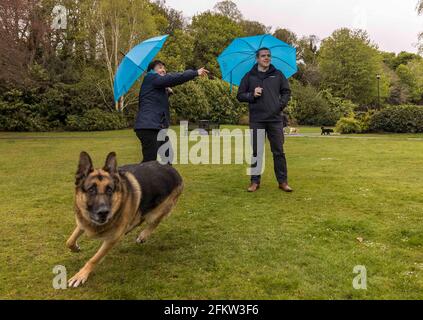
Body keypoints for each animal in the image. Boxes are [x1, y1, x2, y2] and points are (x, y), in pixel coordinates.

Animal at [66, 152, 184, 288]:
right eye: (91, 190)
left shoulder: (111, 239)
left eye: (110, 190)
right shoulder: (83, 222)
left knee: (155, 221)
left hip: (156, 212)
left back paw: (143, 235)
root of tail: (171, 168)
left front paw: (81, 275)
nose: (104, 213)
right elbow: (69, 241)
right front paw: (75, 248)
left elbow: (94, 258)